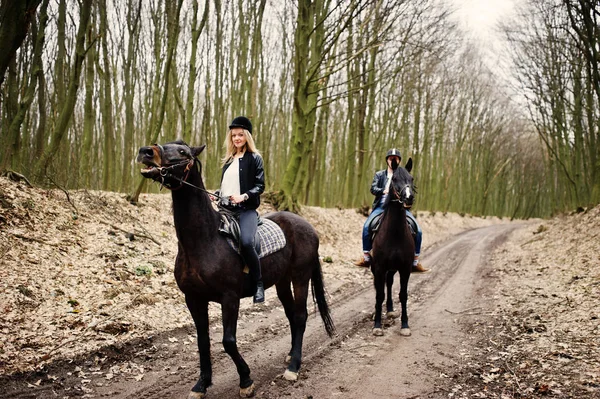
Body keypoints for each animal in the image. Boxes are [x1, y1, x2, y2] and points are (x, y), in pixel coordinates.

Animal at [136, 142, 336, 399]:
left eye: (183, 152)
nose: (146, 152)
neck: (206, 240)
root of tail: (308, 226)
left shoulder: (229, 297)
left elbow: (228, 341)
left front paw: (246, 380)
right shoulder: (194, 298)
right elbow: (202, 342)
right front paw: (201, 385)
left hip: (300, 277)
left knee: (301, 316)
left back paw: (293, 368)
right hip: (282, 282)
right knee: (292, 315)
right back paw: (291, 355)